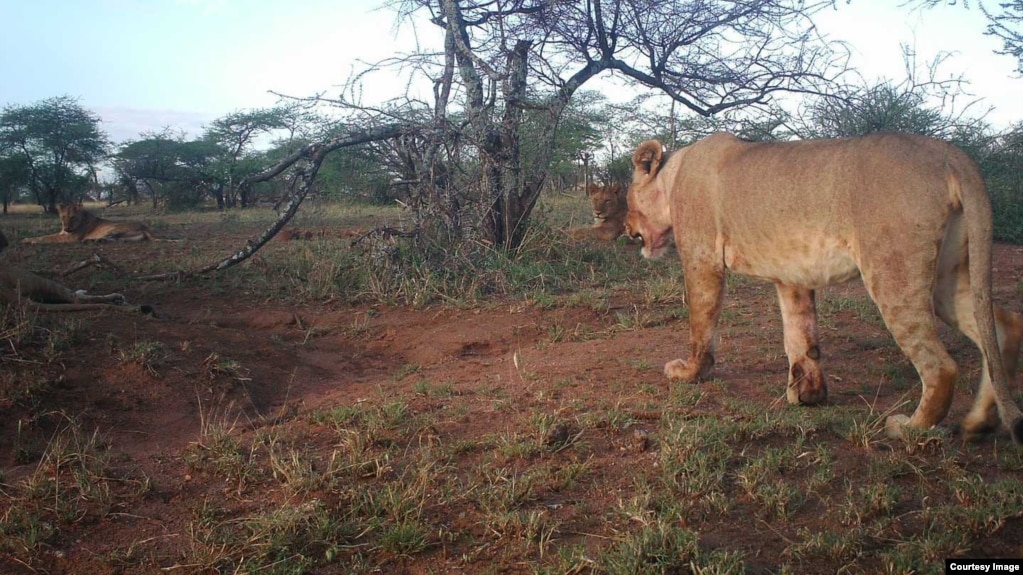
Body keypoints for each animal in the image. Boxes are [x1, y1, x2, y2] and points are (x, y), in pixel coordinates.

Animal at [22, 202, 155, 242]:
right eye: (63, 217)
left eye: (73, 217)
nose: (66, 228)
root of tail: (146, 227)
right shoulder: (63, 234)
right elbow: (44, 235)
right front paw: (27, 239)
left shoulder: (71, 238)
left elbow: (49, 238)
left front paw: (33, 241)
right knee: (117, 240)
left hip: (112, 228)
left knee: (111, 238)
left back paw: (89, 241)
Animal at [626, 130, 1018, 444]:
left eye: (628, 198)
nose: (628, 231)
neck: (674, 174)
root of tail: (950, 153)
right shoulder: (792, 275)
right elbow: (800, 335)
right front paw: (808, 394)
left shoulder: (702, 258)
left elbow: (700, 323)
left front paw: (689, 372)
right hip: (946, 278)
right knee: (1002, 326)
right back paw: (980, 422)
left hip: (893, 272)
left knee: (941, 365)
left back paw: (909, 427)